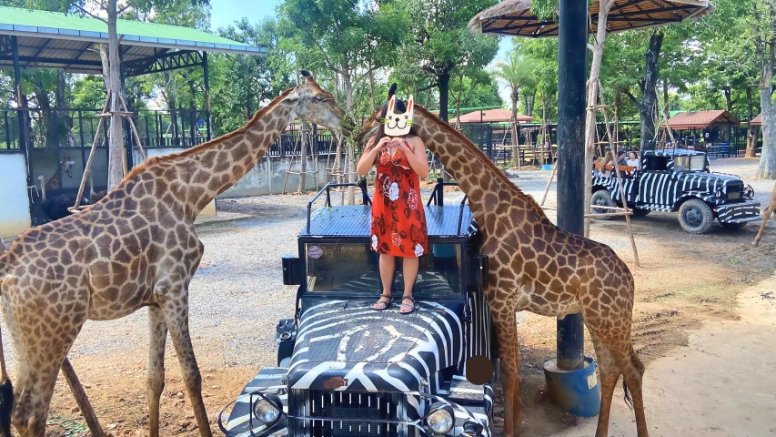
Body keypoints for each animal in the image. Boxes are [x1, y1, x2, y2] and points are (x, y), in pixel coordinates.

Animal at [0, 71, 352, 436]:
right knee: (30, 414)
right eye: (321, 98)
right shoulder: (175, 286)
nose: (349, 122)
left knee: (17, 410)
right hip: (55, 331)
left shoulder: (155, 299)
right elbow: (192, 374)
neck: (190, 194)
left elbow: (154, 379)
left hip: (23, 338)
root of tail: (6, 270)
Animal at [360, 95, 648, 436]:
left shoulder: (501, 299)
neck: (489, 210)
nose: (360, 136)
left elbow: (509, 373)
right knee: (610, 369)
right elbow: (513, 371)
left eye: (378, 116)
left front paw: (510, 429)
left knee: (633, 369)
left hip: (609, 320)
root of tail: (629, 280)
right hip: (600, 318)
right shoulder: (506, 304)